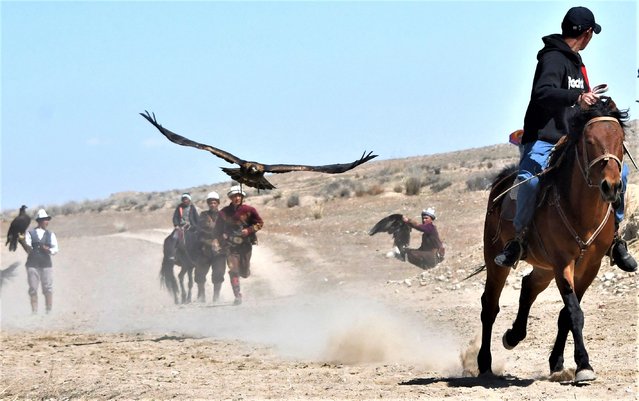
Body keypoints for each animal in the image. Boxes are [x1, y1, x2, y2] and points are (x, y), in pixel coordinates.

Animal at [480, 97, 632, 382]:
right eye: (589, 141)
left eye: (620, 139)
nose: (612, 186)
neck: (582, 211)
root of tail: (501, 182)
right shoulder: (563, 263)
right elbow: (573, 312)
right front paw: (584, 365)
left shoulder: (589, 266)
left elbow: (566, 315)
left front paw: (560, 362)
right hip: (496, 260)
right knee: (490, 305)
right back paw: (484, 363)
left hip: (544, 267)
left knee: (528, 287)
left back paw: (514, 335)